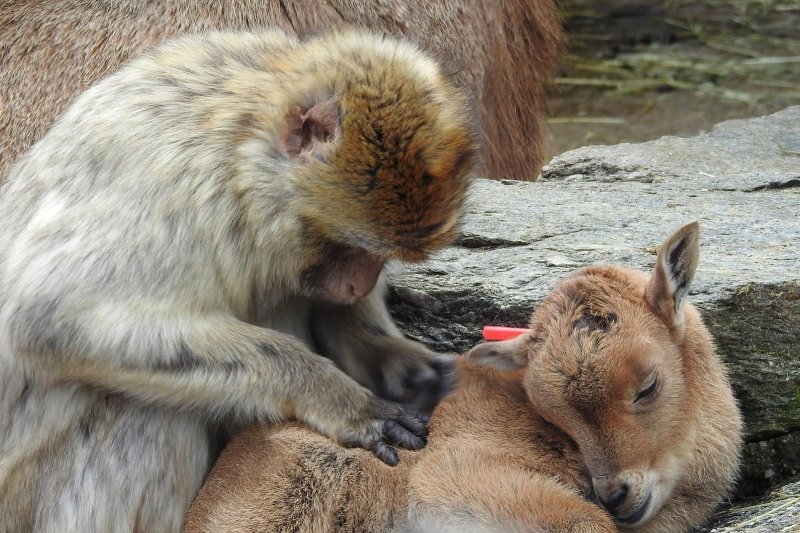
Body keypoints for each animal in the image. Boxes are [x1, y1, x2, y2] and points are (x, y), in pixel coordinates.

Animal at [0, 31, 476, 528]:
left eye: (380, 257)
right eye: (353, 248)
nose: (359, 287)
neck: (239, 163)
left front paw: (394, 360)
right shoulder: (174, 186)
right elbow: (50, 318)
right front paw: (335, 397)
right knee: (143, 412)